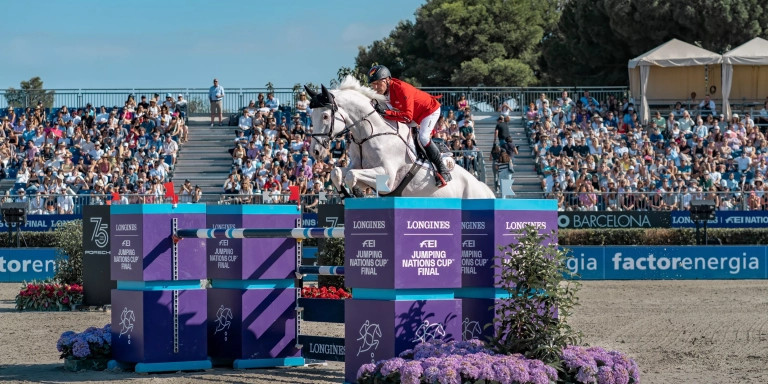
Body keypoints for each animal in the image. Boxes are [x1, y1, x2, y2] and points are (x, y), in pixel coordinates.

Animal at [308, 77, 496, 200]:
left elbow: (351, 175)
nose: (315, 151)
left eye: (325, 116)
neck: (369, 134)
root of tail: (484, 188)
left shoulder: (387, 176)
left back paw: (443, 174)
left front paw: (357, 192)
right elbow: (338, 172)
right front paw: (346, 194)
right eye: (311, 116)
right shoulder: (356, 165)